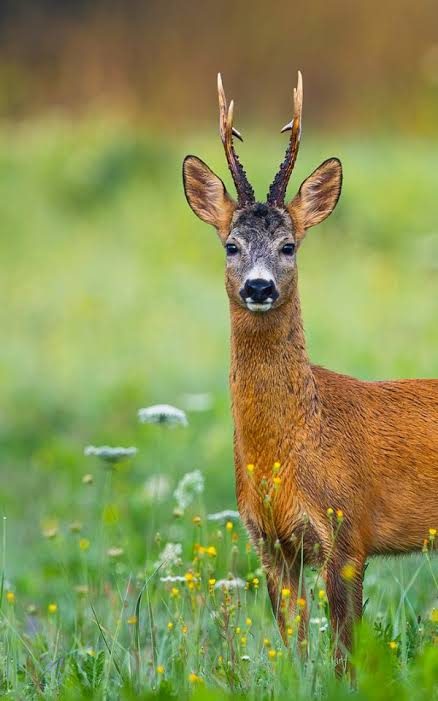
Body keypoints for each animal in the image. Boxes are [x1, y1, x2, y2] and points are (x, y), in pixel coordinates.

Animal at [182, 71, 438, 671]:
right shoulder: (270, 545)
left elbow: (345, 653)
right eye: (231, 244)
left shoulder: (347, 530)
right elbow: (294, 652)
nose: (258, 286)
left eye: (289, 245)